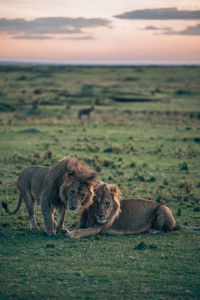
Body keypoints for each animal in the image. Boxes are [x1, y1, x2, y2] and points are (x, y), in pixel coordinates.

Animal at [67, 182, 198, 238]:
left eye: (107, 203)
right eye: (96, 203)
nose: (101, 215)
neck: (91, 216)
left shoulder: (99, 228)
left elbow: (82, 232)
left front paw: (71, 234)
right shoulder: (83, 223)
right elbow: (78, 228)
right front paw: (67, 231)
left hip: (163, 208)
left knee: (167, 229)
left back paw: (153, 230)